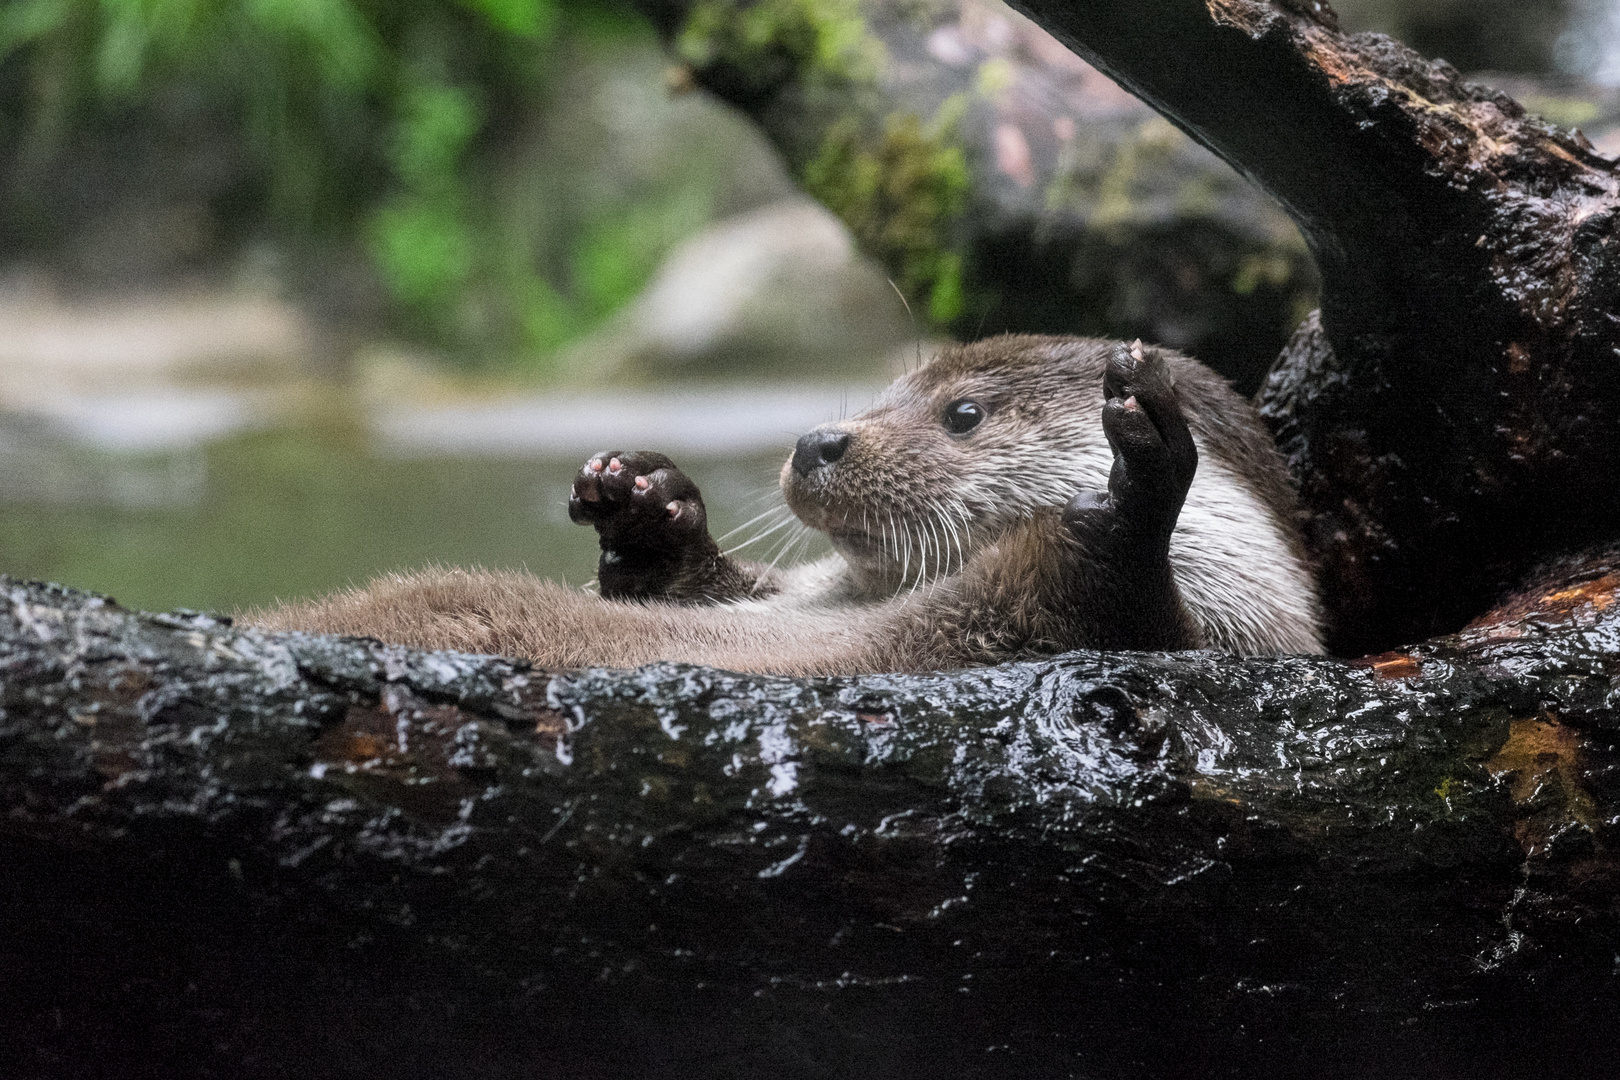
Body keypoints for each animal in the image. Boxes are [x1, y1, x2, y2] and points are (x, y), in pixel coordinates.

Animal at [249, 338, 1315, 676]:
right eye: (886, 391)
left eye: (962, 413)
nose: (817, 440)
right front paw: (644, 500)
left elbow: (1117, 593)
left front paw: (1141, 470)